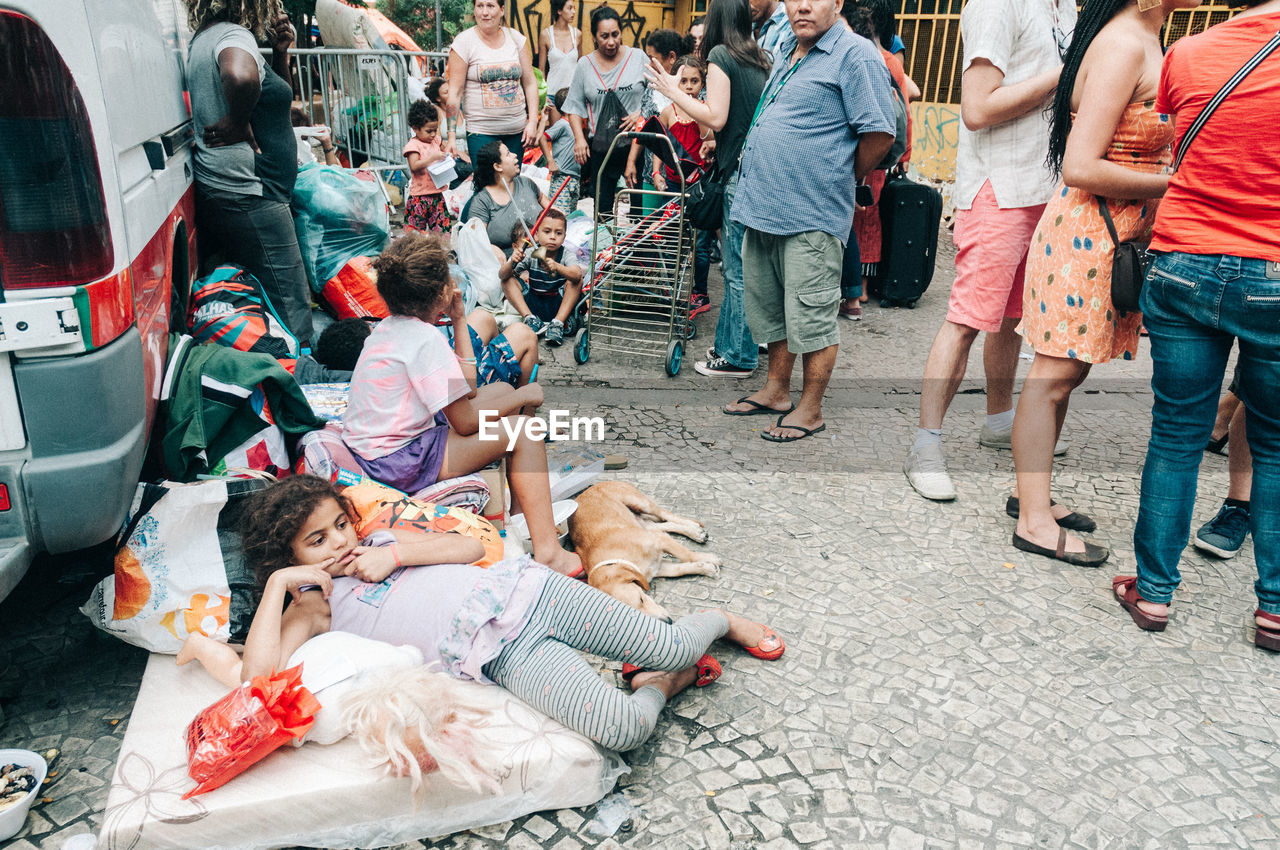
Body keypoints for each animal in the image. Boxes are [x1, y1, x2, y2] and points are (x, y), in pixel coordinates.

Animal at [568, 478, 721, 624]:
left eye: (641, 599)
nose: (668, 622)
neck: (620, 558)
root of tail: (585, 491)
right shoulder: (657, 567)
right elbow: (680, 569)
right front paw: (706, 568)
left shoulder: (659, 541)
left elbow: (686, 555)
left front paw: (710, 559)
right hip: (643, 522)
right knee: (663, 524)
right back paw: (695, 531)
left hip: (640, 503)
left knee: (666, 515)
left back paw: (694, 529)